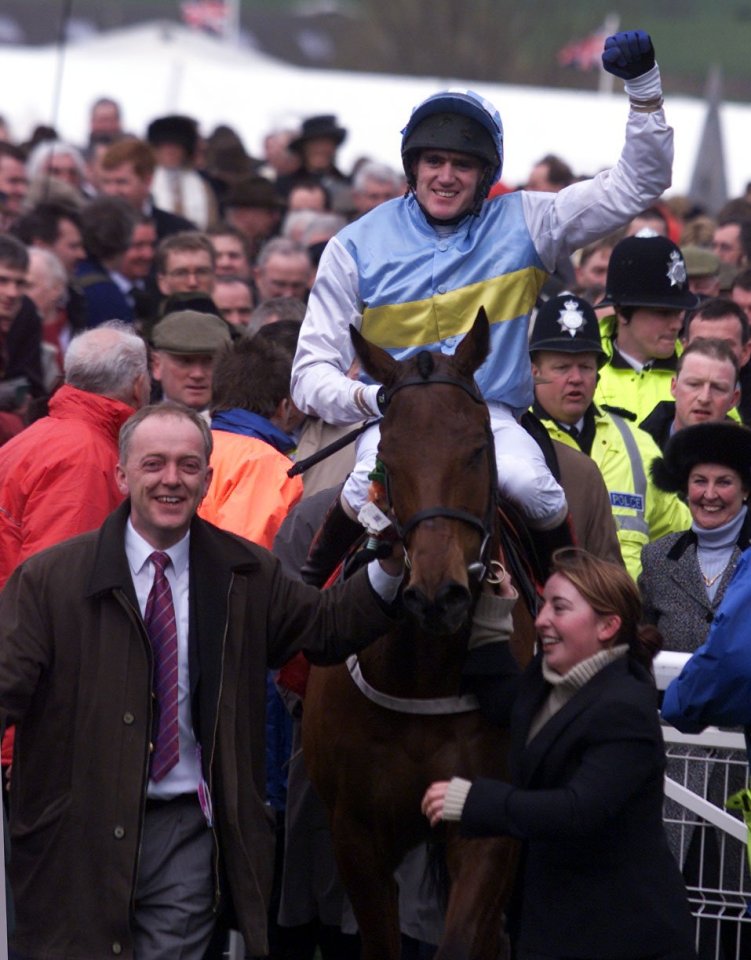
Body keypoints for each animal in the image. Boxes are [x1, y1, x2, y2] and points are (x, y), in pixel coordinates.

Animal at [300, 310, 536, 960]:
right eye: (387, 452)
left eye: (478, 449)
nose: (436, 593)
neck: (423, 674)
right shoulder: (355, 832)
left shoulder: (488, 826)